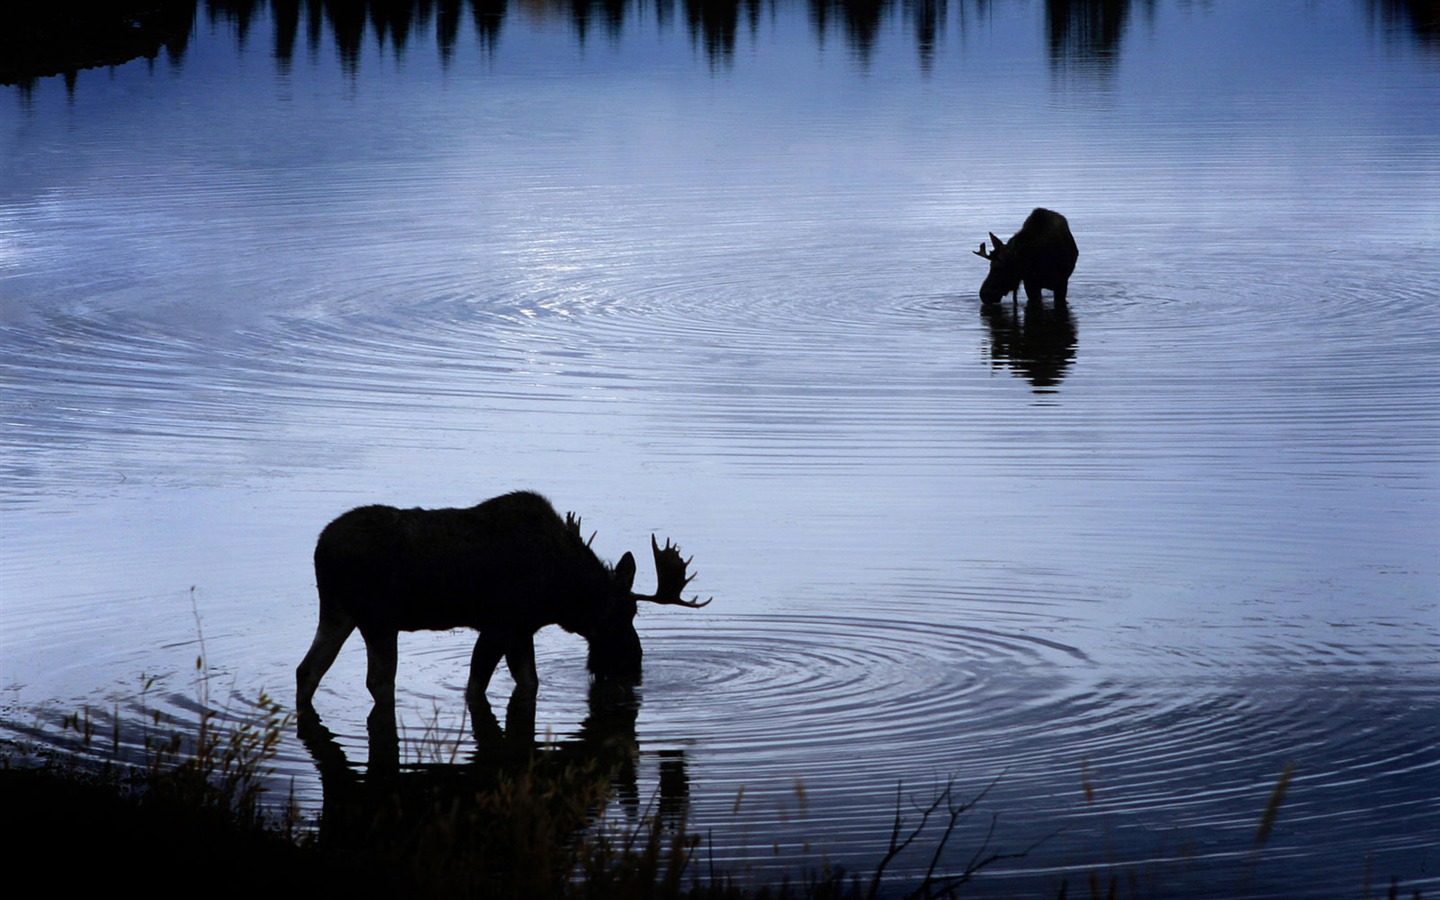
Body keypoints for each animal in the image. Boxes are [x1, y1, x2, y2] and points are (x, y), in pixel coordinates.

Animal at [295, 486, 711, 711]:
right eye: (624, 613)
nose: (634, 661)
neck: (562, 591)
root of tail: (318, 549)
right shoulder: (499, 625)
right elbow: (477, 685)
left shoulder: (522, 630)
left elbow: (529, 681)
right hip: (378, 620)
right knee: (379, 681)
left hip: (337, 612)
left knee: (308, 670)